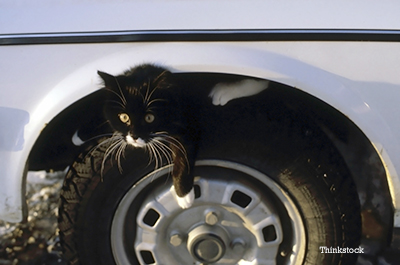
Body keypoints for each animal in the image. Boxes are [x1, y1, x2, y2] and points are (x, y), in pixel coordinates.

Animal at [97, 63, 268, 206]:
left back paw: (223, 91)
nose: (134, 136)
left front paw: (183, 195)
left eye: (149, 117)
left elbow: (183, 154)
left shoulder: (187, 121)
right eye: (123, 117)